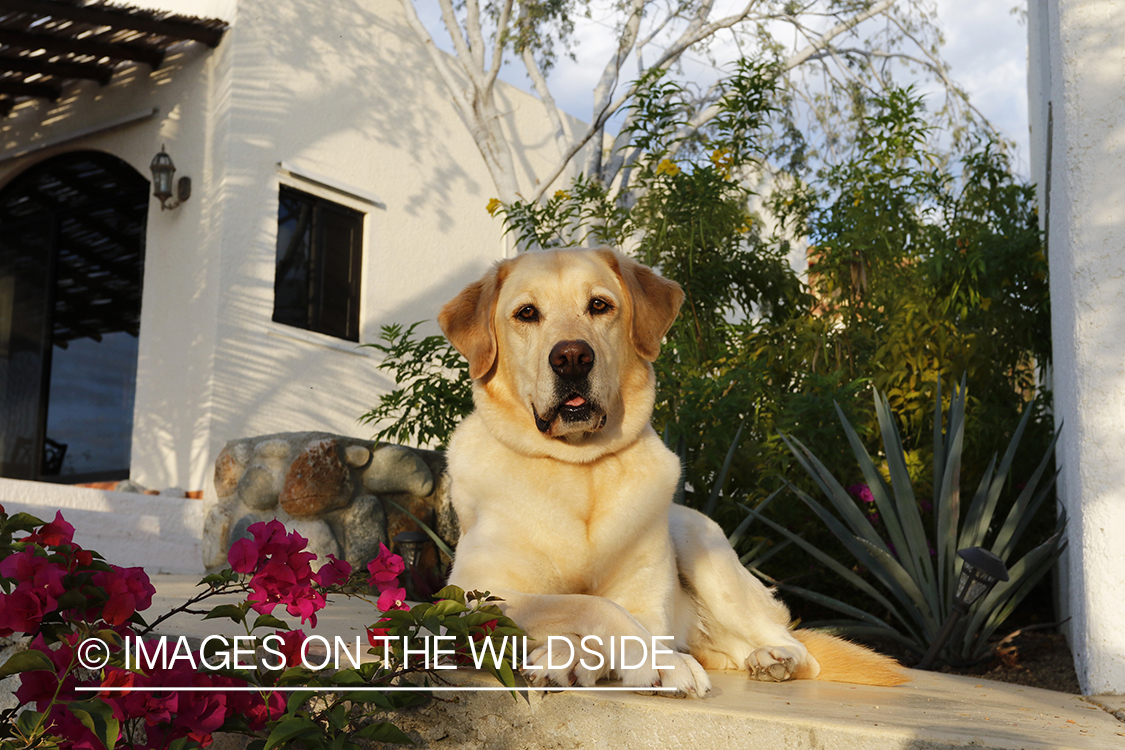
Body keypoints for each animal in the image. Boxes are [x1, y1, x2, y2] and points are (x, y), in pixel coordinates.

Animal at [434, 247, 900, 697]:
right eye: (527, 313)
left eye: (599, 305)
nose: (572, 358)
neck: (578, 468)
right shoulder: (470, 597)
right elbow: (584, 604)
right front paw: (601, 658)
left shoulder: (648, 609)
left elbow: (615, 617)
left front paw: (630, 661)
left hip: (702, 544)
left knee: (798, 648)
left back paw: (774, 658)